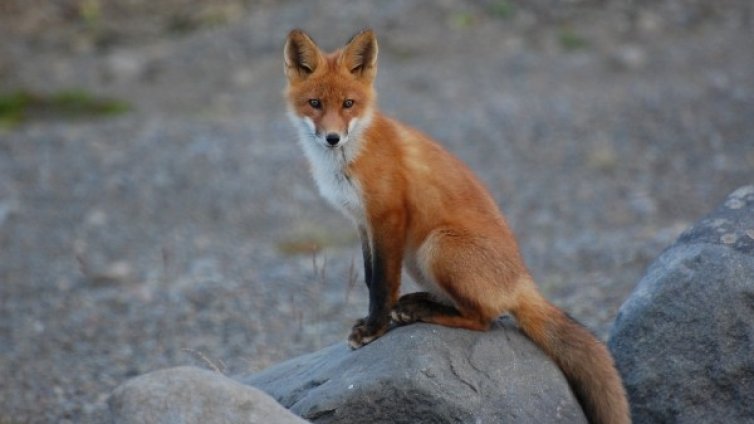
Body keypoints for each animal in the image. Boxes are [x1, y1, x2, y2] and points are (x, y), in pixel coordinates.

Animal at [282, 28, 628, 422]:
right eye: (314, 103)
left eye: (348, 104)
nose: (332, 138)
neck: (349, 158)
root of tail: (523, 280)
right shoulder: (362, 222)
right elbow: (371, 277)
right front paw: (376, 321)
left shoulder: (388, 216)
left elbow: (381, 283)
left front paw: (374, 328)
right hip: (418, 258)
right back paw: (417, 303)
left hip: (437, 246)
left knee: (484, 319)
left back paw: (422, 311)